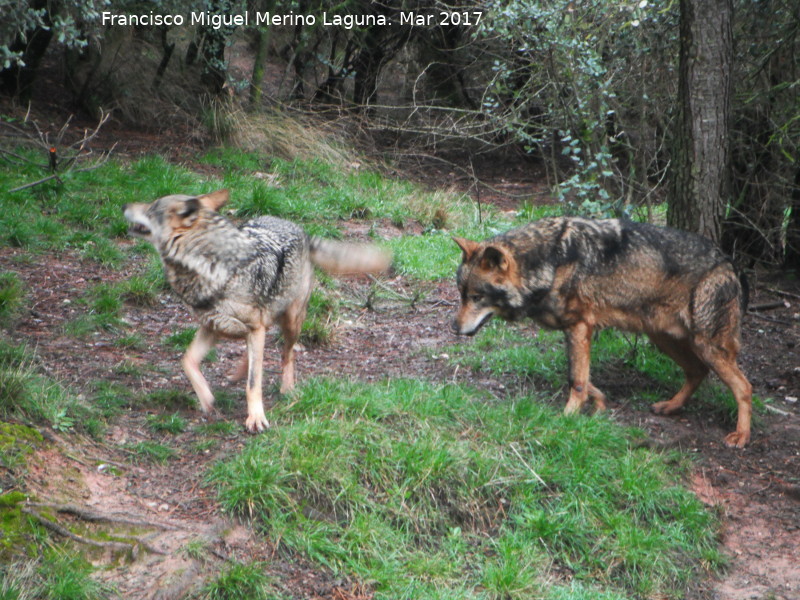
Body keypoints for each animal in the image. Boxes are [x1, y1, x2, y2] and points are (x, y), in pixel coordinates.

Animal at [121, 190, 390, 428]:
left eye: (151, 208)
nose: (125, 205)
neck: (210, 268)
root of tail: (300, 229)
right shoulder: (212, 326)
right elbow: (187, 361)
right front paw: (206, 399)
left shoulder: (246, 328)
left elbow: (253, 384)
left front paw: (256, 419)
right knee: (256, 350)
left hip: (291, 321)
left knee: (286, 354)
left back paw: (287, 388)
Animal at [454, 218, 752, 448]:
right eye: (461, 294)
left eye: (476, 297)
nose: (454, 328)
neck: (549, 261)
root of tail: (729, 262)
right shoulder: (577, 332)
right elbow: (583, 378)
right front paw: (598, 404)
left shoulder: (579, 327)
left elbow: (576, 380)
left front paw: (567, 417)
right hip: (664, 339)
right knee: (697, 371)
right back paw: (670, 406)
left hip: (706, 345)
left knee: (744, 386)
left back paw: (741, 436)